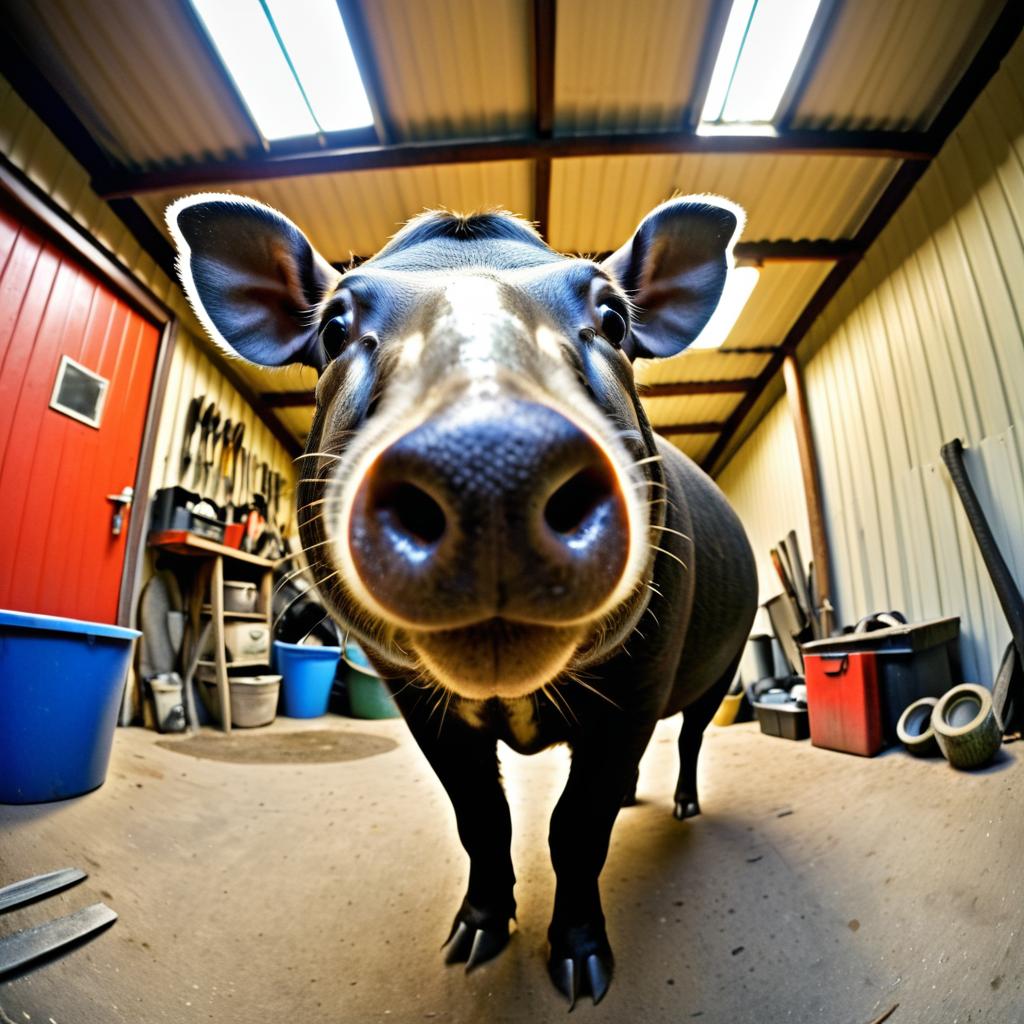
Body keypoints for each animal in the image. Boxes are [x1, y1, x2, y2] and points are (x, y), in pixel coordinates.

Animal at [167, 193, 757, 1007]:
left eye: (612, 318)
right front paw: (471, 943)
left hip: (723, 663)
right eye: (335, 327)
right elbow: (482, 816)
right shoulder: (416, 701)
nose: (490, 455)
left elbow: (577, 827)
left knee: (694, 736)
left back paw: (684, 807)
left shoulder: (641, 679)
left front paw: (581, 973)